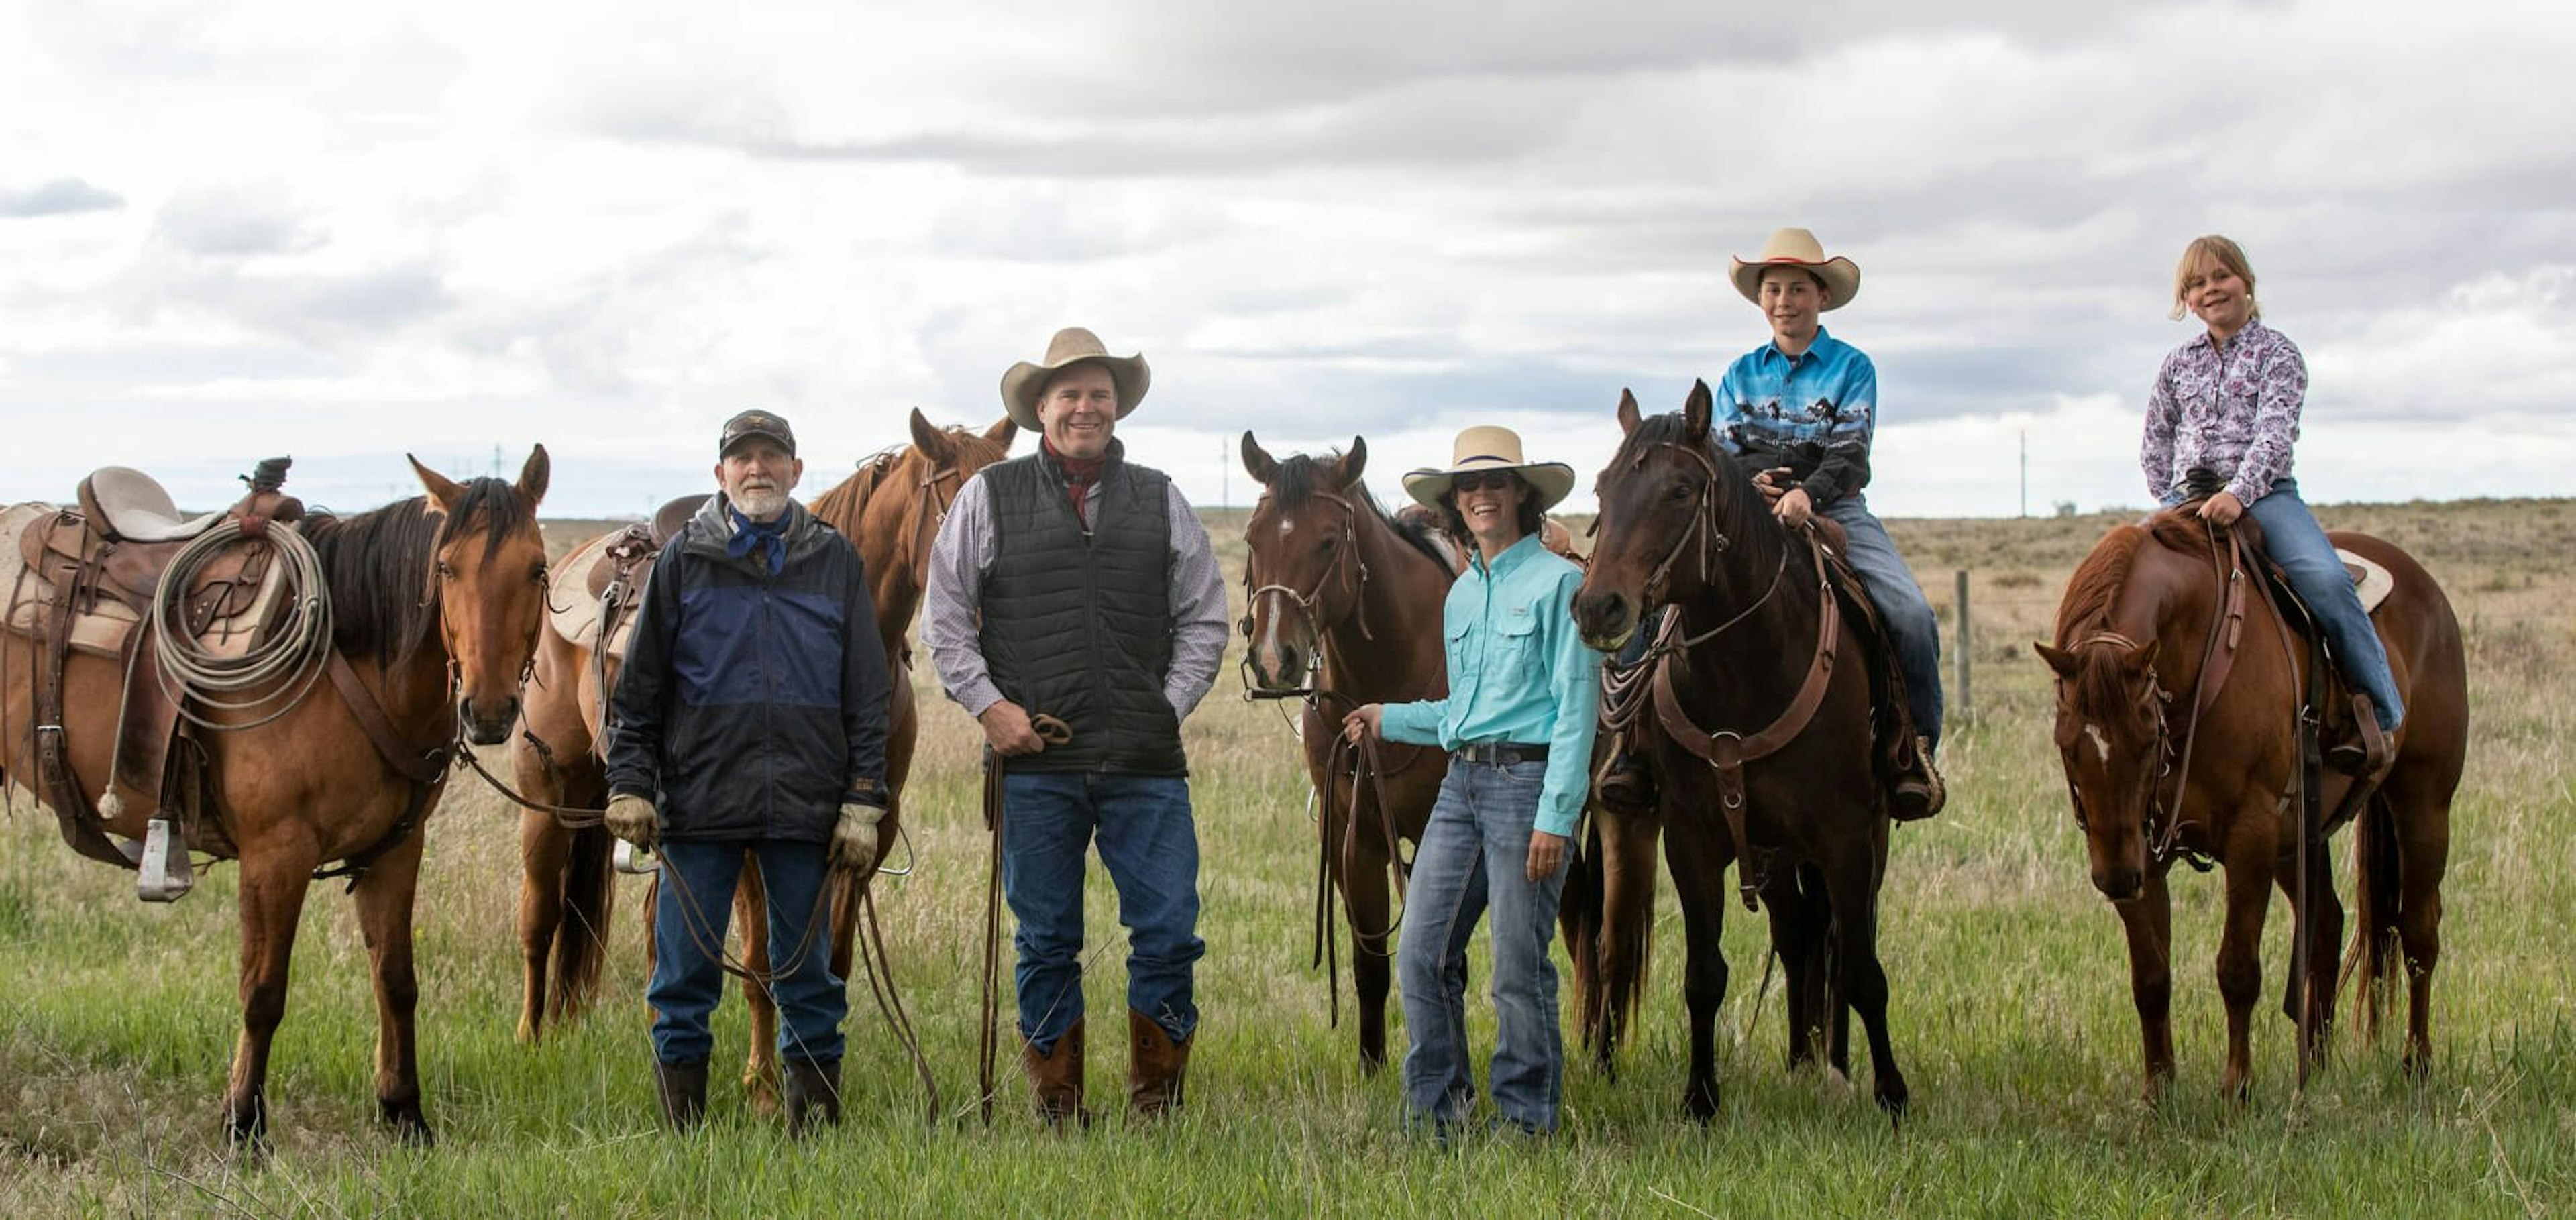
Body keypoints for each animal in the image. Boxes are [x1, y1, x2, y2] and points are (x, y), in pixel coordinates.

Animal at [0, 447, 553, 1142]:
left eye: (536, 568)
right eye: (447, 567)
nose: (487, 711)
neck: (345, 662)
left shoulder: (395, 850)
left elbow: (396, 979)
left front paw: (404, 1112)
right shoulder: (276, 854)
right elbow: (262, 991)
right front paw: (244, 1124)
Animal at [507, 406, 1010, 1107]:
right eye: (958, 509)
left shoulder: (865, 835)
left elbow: (830, 962)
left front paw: (816, 1075)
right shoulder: (750, 839)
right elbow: (762, 965)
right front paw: (765, 1086)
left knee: (654, 925)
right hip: (547, 799)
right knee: (541, 915)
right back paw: (532, 1036)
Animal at [1236, 432, 1463, 1065]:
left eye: (1328, 540)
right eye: (1253, 538)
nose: (1273, 659)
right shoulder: (1351, 837)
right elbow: (1370, 965)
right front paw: (1371, 1065)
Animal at [1556, 386, 1906, 1122]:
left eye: (1681, 490)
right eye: (1603, 486)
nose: (1598, 607)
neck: (1751, 668)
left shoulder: (1846, 838)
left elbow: (1862, 968)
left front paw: (1891, 1093)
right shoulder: (1691, 837)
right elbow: (1703, 975)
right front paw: (1700, 1098)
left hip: (1860, 838)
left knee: (1833, 943)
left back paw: (1833, 1066)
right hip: (1749, 847)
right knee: (1792, 935)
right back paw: (1801, 1063)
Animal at [2029, 502, 2473, 1096]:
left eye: (2146, 738)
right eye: (2067, 743)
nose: (2116, 879)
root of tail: (2429, 592)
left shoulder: (2250, 835)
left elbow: (2237, 969)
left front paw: (2237, 1088)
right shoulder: (2143, 844)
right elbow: (2151, 976)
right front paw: (2158, 1094)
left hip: (2423, 804)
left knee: (2421, 933)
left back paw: (2416, 1066)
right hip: (2299, 837)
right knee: (2326, 927)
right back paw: (2316, 1070)